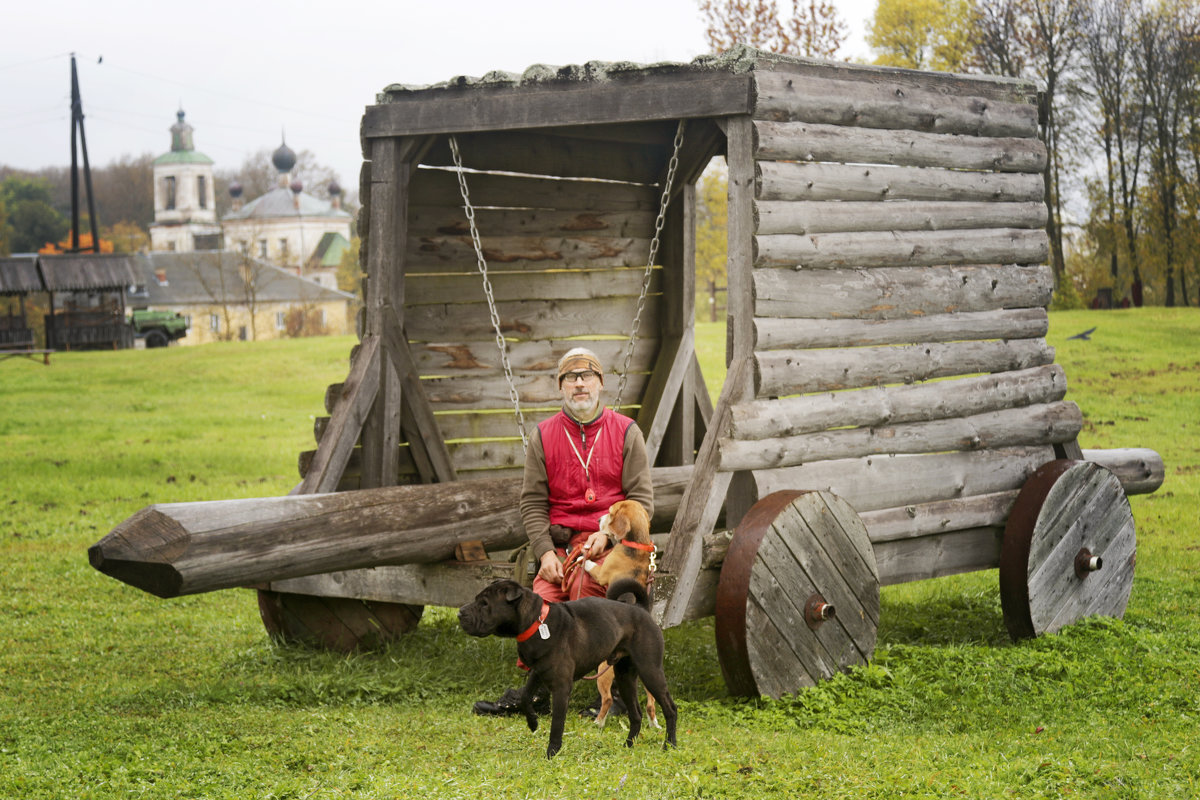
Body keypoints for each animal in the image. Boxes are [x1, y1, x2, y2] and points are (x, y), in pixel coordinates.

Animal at [456, 578, 681, 762]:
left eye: (485, 604)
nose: (459, 612)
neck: (536, 623)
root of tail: (641, 608)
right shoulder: (538, 672)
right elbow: (526, 696)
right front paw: (533, 723)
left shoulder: (561, 687)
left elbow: (557, 725)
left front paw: (551, 754)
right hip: (625, 677)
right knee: (636, 715)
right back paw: (628, 746)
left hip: (650, 671)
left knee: (670, 709)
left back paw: (670, 745)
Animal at [580, 501, 657, 734]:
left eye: (611, 513)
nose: (597, 520)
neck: (638, 544)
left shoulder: (602, 573)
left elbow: (593, 567)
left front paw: (582, 558)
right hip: (649, 675)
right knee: (651, 703)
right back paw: (655, 724)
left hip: (603, 671)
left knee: (606, 700)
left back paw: (598, 723)